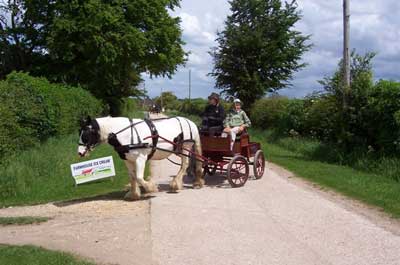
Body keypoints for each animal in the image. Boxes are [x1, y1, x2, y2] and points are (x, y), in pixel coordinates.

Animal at [77, 114, 205, 199]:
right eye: (80, 133)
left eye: (86, 134)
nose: (80, 153)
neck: (127, 134)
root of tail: (190, 122)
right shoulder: (127, 160)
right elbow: (132, 176)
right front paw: (133, 194)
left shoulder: (141, 158)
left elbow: (139, 177)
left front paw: (150, 188)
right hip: (180, 150)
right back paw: (196, 182)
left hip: (185, 147)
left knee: (185, 165)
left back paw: (176, 184)